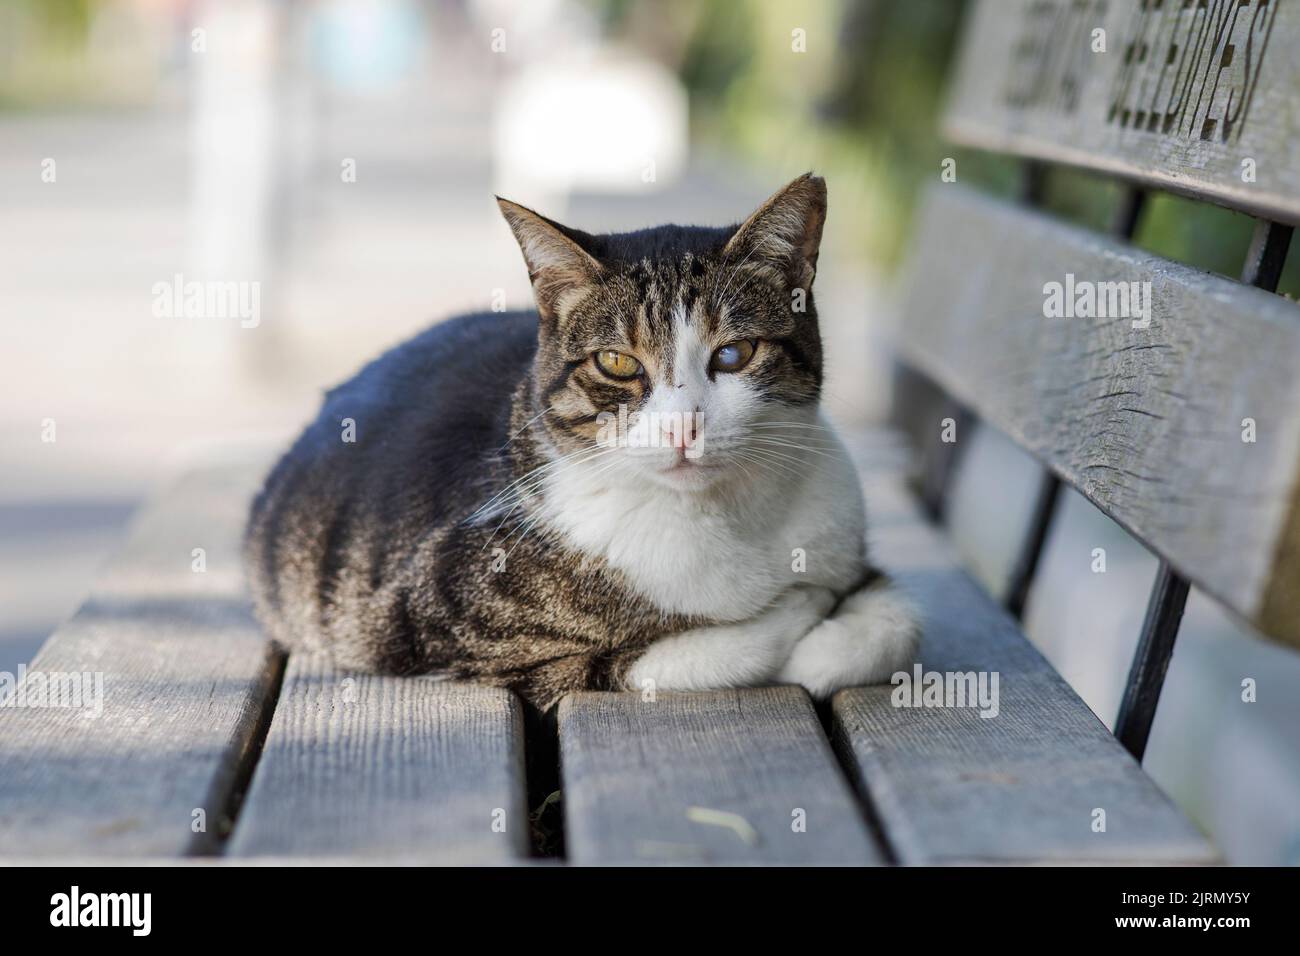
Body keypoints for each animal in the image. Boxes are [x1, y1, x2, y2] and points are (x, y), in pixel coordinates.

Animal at [241, 174, 915, 712]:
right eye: (616, 361)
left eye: (734, 353)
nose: (683, 426)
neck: (723, 516)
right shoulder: (441, 628)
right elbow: (666, 655)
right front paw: (799, 613)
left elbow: (897, 620)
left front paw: (827, 629)